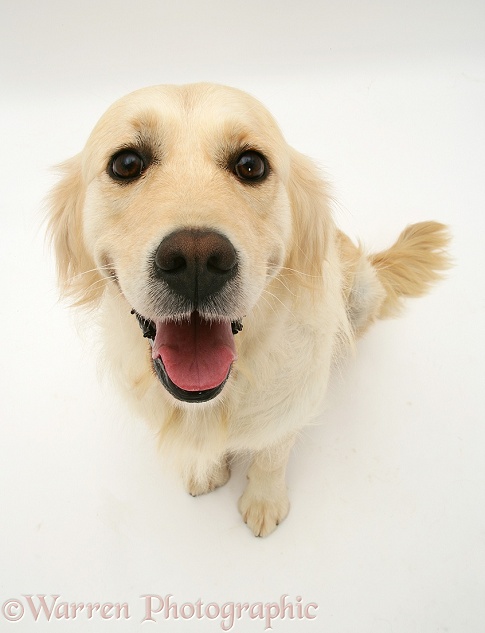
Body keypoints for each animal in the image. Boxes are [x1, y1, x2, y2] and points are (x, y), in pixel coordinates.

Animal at [47, 82, 448, 532]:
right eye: (127, 163)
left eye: (251, 165)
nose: (197, 261)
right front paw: (205, 471)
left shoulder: (291, 406)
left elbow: (272, 455)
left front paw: (264, 502)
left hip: (360, 288)